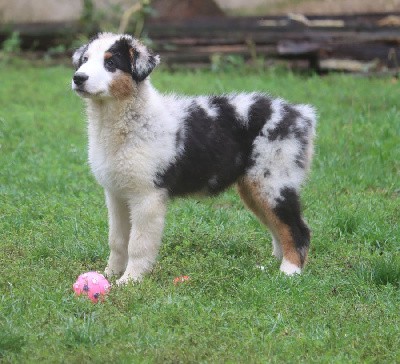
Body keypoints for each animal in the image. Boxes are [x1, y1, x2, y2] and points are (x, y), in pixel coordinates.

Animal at [71, 32, 316, 286]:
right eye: (85, 60)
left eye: (110, 63)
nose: (78, 78)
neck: (119, 120)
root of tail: (301, 115)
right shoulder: (116, 194)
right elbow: (118, 240)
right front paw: (108, 274)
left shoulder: (147, 195)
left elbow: (138, 243)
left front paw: (130, 281)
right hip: (254, 186)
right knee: (277, 226)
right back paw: (270, 267)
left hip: (273, 180)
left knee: (297, 227)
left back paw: (289, 271)